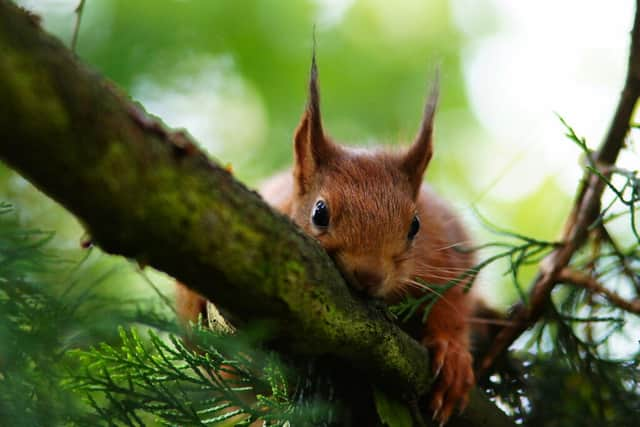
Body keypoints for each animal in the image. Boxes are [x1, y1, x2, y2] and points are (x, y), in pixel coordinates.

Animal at [175, 57, 476, 427]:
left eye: (415, 226)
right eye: (319, 213)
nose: (370, 276)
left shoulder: (445, 253)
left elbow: (452, 301)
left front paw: (453, 356)